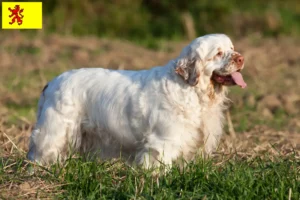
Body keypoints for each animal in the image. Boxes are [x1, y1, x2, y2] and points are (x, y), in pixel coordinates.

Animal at [27, 34, 246, 167]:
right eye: (218, 53)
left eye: (232, 48)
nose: (241, 58)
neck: (191, 90)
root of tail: (51, 83)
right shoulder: (163, 141)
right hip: (54, 132)